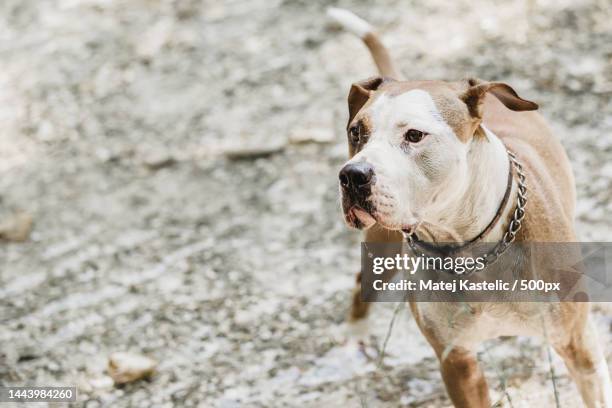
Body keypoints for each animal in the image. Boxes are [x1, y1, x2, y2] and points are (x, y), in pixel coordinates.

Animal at [330, 7, 612, 408]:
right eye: (357, 132)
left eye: (414, 135)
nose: (353, 175)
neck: (466, 246)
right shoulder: (458, 363)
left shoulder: (580, 348)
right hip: (380, 247)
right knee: (360, 282)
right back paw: (354, 338)